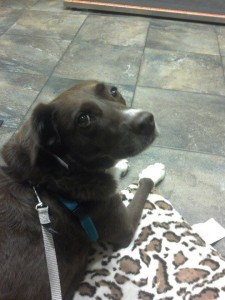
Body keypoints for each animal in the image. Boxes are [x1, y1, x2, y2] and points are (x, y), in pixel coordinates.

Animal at [0, 81, 162, 298]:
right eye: (83, 119)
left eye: (113, 91)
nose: (147, 120)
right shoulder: (124, 225)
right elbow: (143, 184)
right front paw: (152, 170)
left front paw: (120, 165)